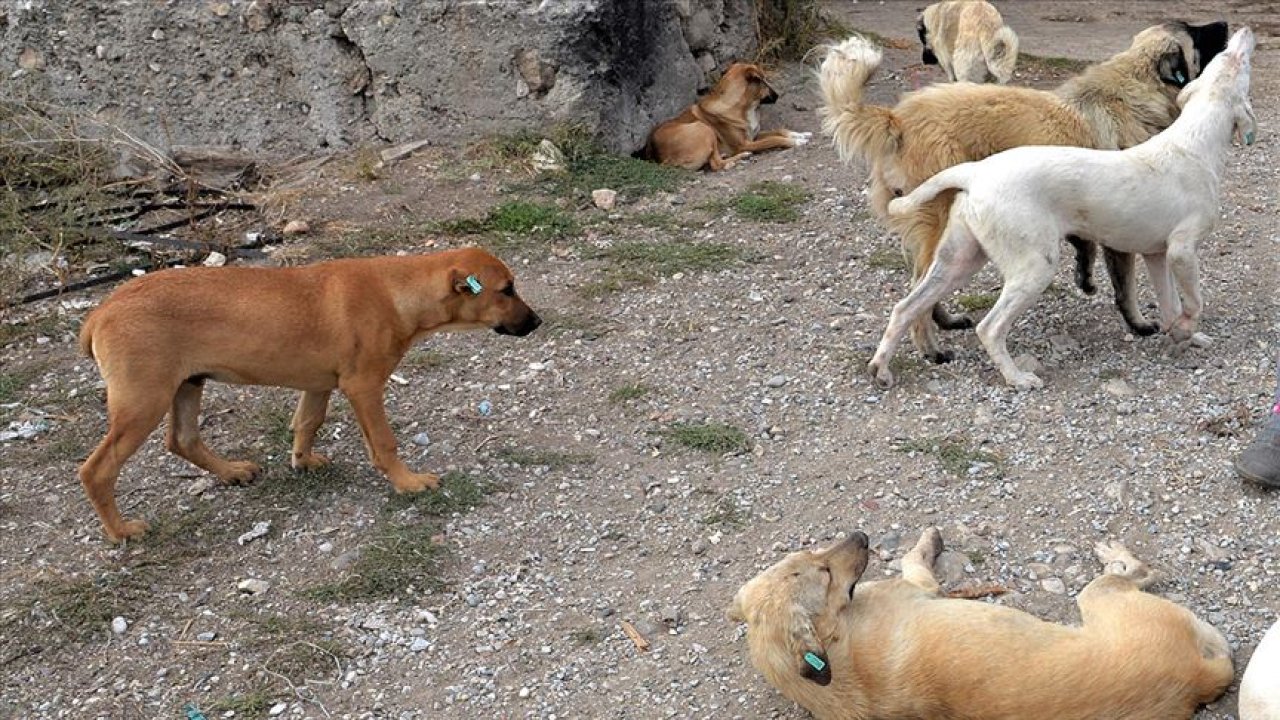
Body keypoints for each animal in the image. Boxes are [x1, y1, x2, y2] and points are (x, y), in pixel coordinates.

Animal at [78, 244, 540, 538]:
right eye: (506, 290)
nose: (536, 322)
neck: (397, 291)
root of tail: (101, 313)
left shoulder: (319, 385)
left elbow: (307, 422)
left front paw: (303, 461)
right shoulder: (364, 387)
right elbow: (384, 442)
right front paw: (407, 482)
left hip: (187, 385)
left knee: (182, 440)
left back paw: (232, 471)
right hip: (144, 400)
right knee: (97, 469)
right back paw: (121, 531)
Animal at [640, 61, 808, 170]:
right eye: (764, 81)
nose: (777, 96)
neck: (744, 108)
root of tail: (659, 157)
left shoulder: (753, 135)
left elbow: (779, 130)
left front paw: (800, 134)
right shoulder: (745, 143)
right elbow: (774, 139)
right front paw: (795, 142)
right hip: (704, 128)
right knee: (716, 164)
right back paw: (739, 157)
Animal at [727, 520, 1233, 717]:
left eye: (812, 555)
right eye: (826, 573)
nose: (863, 536)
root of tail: (1195, 678)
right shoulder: (920, 588)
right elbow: (914, 559)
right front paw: (928, 543)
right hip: (1100, 597)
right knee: (1137, 572)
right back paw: (1115, 554)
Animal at [865, 28, 1254, 389]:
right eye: (1236, 61)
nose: (1245, 33)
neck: (1193, 143)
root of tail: (976, 172)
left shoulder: (1157, 255)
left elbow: (1170, 304)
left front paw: (1184, 336)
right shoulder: (1181, 252)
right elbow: (1193, 302)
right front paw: (1187, 329)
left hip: (959, 261)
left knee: (905, 308)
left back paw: (882, 367)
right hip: (1033, 267)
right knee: (989, 328)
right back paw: (1017, 378)